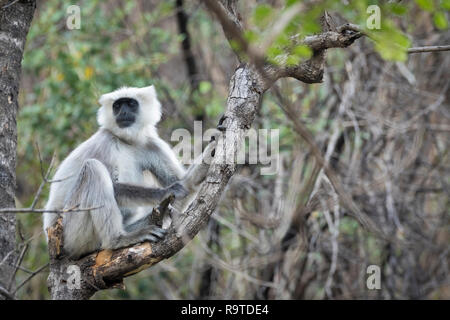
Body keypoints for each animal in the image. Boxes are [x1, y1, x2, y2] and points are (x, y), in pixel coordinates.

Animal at [42, 85, 216, 260]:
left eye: (131, 104)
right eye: (117, 106)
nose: (123, 112)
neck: (126, 141)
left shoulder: (151, 144)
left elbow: (186, 185)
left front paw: (213, 147)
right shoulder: (104, 142)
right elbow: (115, 187)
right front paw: (166, 191)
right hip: (72, 233)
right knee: (93, 168)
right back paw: (118, 239)